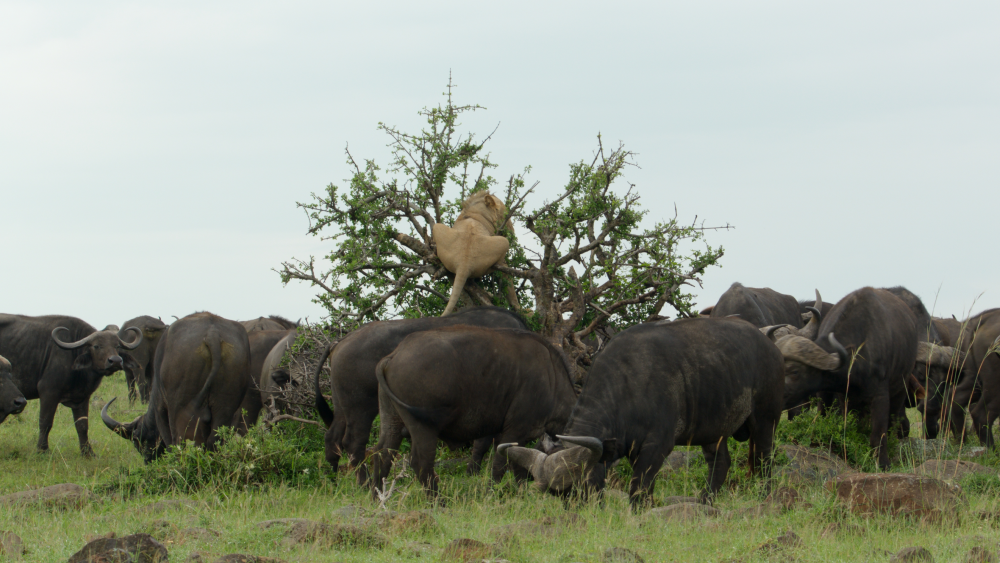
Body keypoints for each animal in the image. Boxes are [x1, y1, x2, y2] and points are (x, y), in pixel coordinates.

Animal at [0, 314, 141, 456]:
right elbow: (45, 422)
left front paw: (88, 453)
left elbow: (82, 425)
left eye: (117, 346)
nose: (115, 361)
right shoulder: (48, 393)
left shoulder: (83, 397)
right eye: (96, 346)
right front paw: (42, 450)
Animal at [102, 312, 250, 462]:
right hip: (224, 409)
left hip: (177, 411)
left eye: (137, 438)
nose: (148, 460)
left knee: (178, 442)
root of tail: (212, 334)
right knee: (214, 442)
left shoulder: (160, 409)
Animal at [314, 306, 527, 486]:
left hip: (342, 406)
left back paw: (333, 481)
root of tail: (340, 341)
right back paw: (363, 484)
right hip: (361, 408)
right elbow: (483, 443)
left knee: (332, 439)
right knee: (353, 442)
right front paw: (472, 472)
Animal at [370, 326, 577, 498]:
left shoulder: (501, 432)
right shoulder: (516, 430)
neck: (552, 379)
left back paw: (376, 497)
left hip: (391, 420)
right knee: (421, 462)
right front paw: (492, 493)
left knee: (382, 453)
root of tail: (394, 355)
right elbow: (501, 463)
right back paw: (438, 501)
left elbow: (512, 462)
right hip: (423, 427)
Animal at [503, 317, 784, 507]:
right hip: (713, 431)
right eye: (559, 495)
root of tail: (770, 346)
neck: (627, 385)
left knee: (764, 459)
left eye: (581, 486)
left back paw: (765, 495)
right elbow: (645, 487)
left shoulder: (656, 446)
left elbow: (639, 486)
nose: (577, 514)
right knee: (721, 463)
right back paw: (705, 501)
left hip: (765, 420)